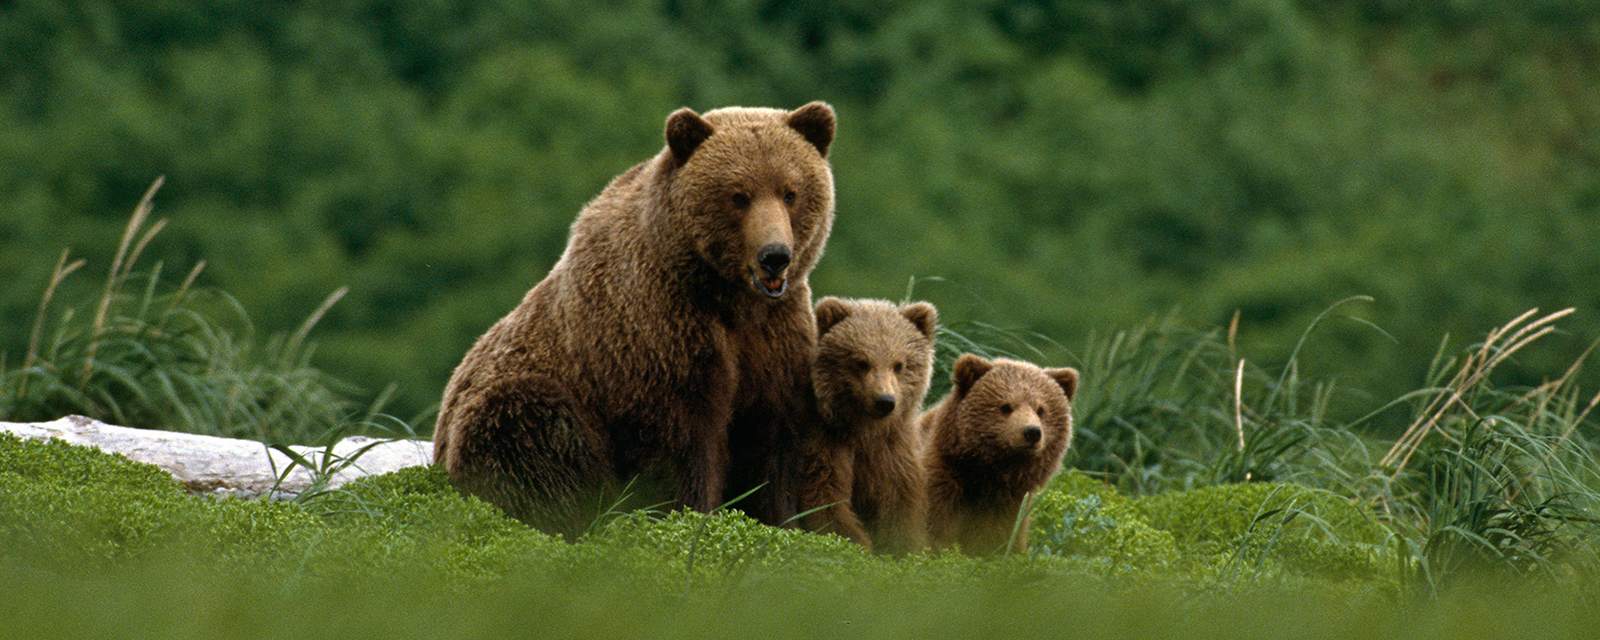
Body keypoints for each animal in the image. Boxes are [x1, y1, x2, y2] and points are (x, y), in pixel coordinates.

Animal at [432, 102, 837, 538]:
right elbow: (680, 442)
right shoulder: (657, 331)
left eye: (790, 192)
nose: (774, 255)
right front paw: (688, 516)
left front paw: (783, 522)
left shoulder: (774, 339)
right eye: (738, 196)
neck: (726, 295)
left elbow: (772, 442)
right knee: (533, 430)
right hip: (509, 405)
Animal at [799, 297, 938, 554]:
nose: (885, 401)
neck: (865, 429)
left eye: (899, 364)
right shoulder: (826, 439)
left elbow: (899, 503)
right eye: (861, 362)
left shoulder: (891, 448)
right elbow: (824, 497)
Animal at [920, 353, 1079, 555]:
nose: (1032, 432)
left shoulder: (1007, 502)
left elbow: (999, 538)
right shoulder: (941, 479)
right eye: (1005, 406)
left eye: (1041, 409)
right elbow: (935, 527)